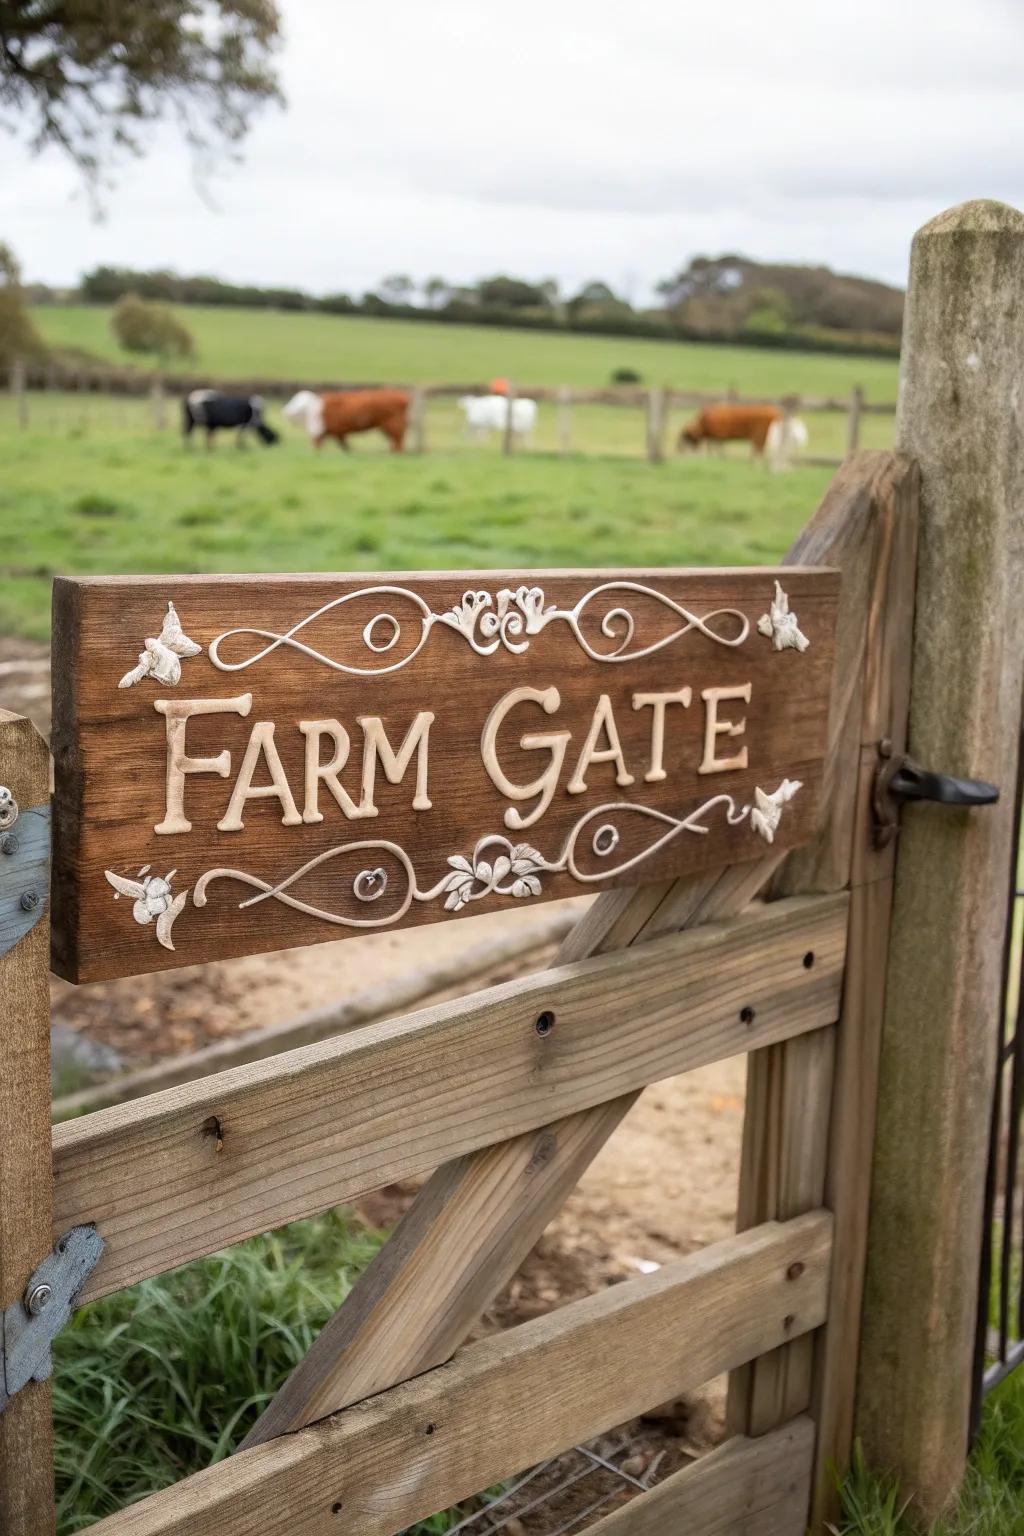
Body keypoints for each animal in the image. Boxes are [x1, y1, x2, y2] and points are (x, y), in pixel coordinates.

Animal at [282, 390, 411, 448]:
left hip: (394, 425)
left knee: (398, 444)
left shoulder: (328, 432)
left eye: (295, 402)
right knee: (395, 444)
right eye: (293, 400)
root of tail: (403, 397)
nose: (285, 411)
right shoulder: (337, 433)